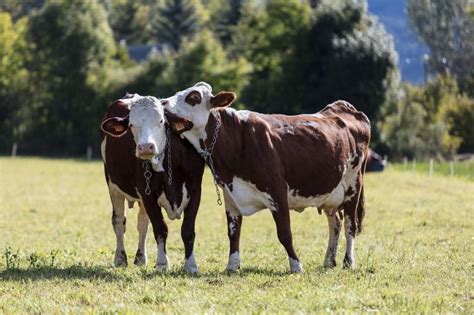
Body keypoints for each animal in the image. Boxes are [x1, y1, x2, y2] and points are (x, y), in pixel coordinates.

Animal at [100, 94, 204, 274]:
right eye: (131, 125)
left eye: (161, 121)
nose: (145, 147)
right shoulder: (147, 194)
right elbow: (160, 228)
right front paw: (162, 263)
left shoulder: (195, 190)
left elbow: (188, 230)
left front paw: (191, 265)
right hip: (113, 186)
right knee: (119, 222)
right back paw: (120, 258)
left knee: (142, 224)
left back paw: (140, 257)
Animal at [162, 82, 370, 272]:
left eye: (193, 97)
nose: (163, 102)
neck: (236, 140)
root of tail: (343, 108)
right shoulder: (231, 196)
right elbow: (233, 233)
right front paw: (232, 265)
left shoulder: (277, 192)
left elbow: (284, 233)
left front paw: (296, 265)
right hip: (331, 192)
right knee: (336, 222)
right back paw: (329, 260)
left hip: (353, 184)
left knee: (350, 224)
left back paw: (348, 262)